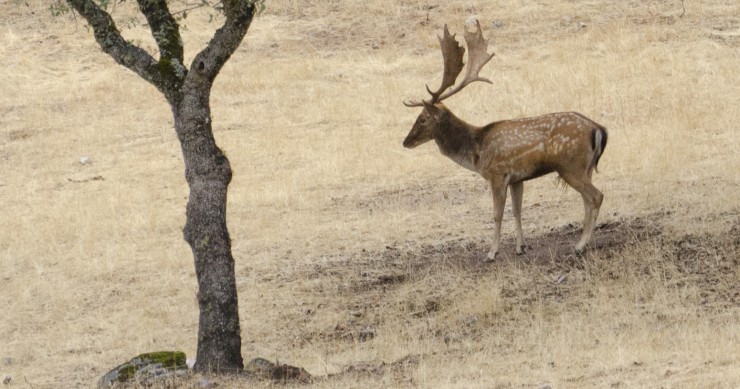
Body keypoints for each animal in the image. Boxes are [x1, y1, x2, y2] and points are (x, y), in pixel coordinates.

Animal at [404, 20, 608, 258]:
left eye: (422, 119)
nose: (405, 141)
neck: (476, 150)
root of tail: (598, 129)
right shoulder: (517, 178)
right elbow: (517, 211)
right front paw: (521, 247)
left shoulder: (497, 174)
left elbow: (497, 214)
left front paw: (492, 253)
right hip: (586, 167)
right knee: (587, 200)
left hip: (570, 165)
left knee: (595, 196)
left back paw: (580, 245)